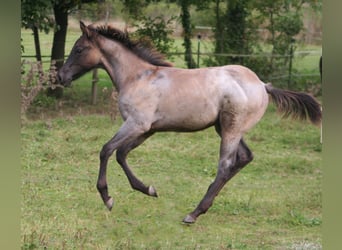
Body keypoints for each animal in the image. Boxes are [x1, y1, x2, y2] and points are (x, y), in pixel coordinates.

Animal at [57, 21, 322, 224]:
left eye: (79, 49)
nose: (61, 76)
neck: (137, 77)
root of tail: (263, 85)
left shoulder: (137, 124)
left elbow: (106, 150)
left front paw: (108, 198)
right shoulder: (146, 130)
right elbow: (121, 154)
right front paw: (148, 189)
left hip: (231, 129)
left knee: (225, 165)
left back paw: (194, 213)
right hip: (224, 128)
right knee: (244, 158)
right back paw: (204, 205)